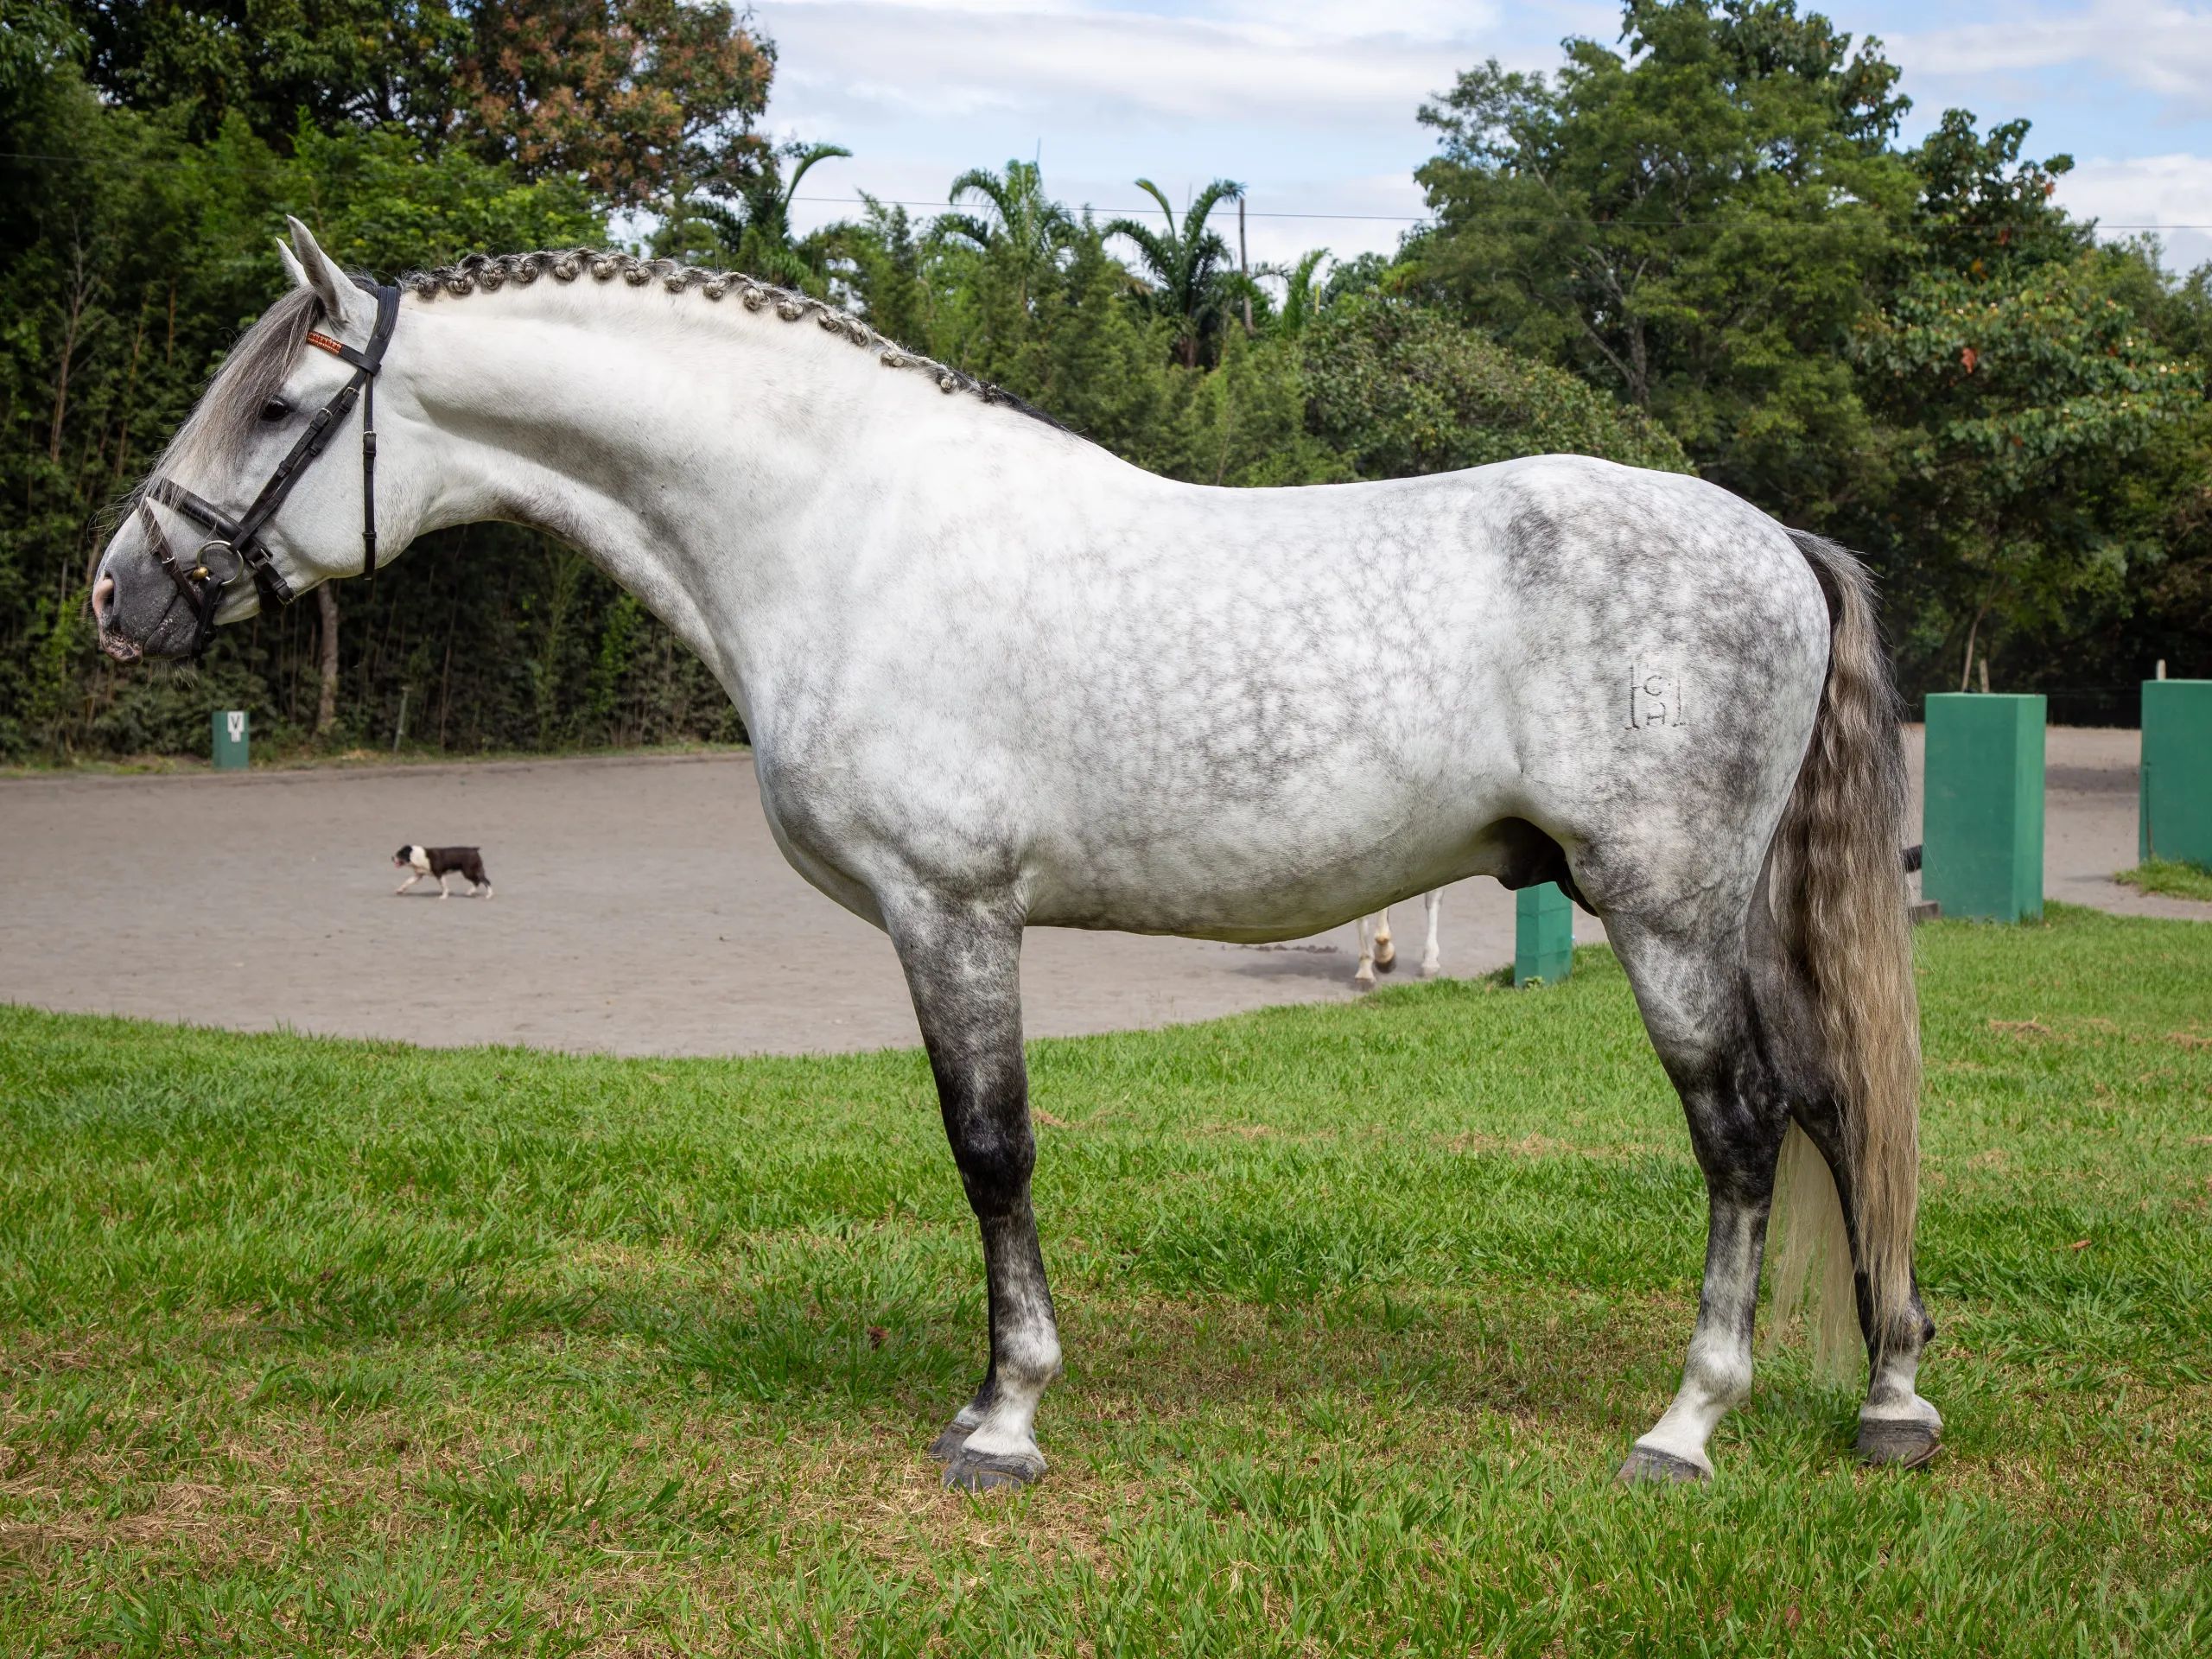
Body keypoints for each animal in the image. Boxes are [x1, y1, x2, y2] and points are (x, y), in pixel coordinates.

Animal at [91, 221, 1939, 1490]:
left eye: (277, 403)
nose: (118, 593)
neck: (837, 527)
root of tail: (1769, 536)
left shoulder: (952, 912)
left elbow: (991, 1149)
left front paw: (1004, 1416)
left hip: (1665, 912)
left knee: (1742, 1128)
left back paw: (1689, 1425)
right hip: (1732, 915)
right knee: (1834, 1101)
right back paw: (1892, 1396)